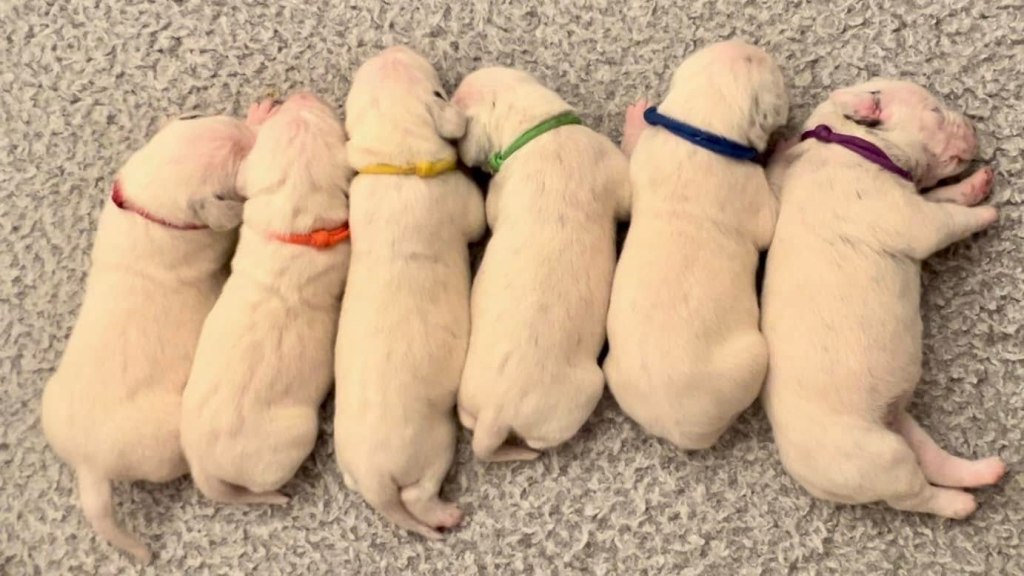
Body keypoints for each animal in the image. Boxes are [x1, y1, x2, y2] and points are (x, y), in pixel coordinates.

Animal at [333, 46, 486, 539]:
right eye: (437, 90)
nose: (391, 49)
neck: (398, 162)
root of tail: (375, 479)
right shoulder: (463, 207)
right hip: (435, 444)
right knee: (419, 495)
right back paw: (445, 513)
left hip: (351, 469)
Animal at [603, 40, 789, 450]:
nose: (750, 42)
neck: (701, 130)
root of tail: (678, 429)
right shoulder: (753, 198)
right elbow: (771, 210)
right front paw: (783, 148)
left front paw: (635, 120)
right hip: (753, 356)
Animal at [761, 78, 1005, 518]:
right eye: (936, 112)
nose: (972, 125)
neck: (847, 142)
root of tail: (806, 477)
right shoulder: (914, 220)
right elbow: (949, 219)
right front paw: (986, 212)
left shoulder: (915, 199)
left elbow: (945, 197)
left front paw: (974, 186)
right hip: (879, 456)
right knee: (915, 493)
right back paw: (960, 503)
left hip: (900, 424)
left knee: (933, 459)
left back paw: (984, 471)